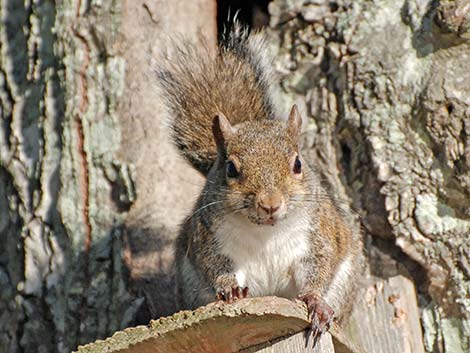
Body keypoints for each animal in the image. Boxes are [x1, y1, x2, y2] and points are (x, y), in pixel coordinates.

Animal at [158, 23, 364, 336]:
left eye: (298, 164)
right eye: (230, 169)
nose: (270, 204)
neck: (265, 233)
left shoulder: (319, 235)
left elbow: (320, 265)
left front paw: (315, 301)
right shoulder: (207, 239)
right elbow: (214, 266)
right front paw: (229, 289)